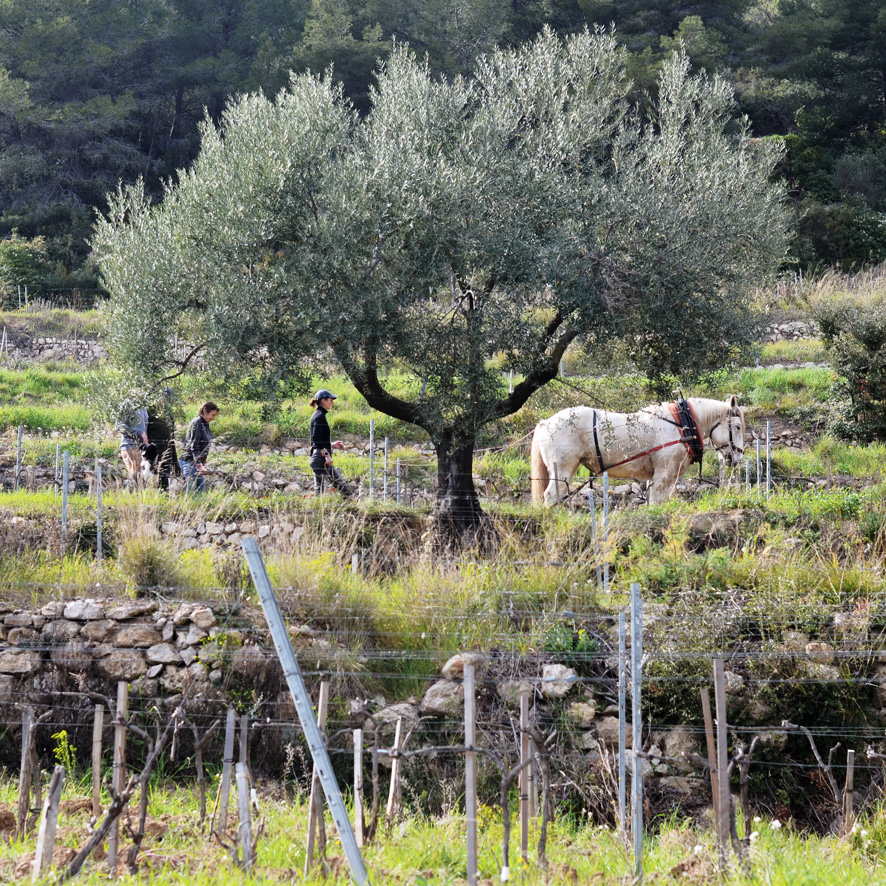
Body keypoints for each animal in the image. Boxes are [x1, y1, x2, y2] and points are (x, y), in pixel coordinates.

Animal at [532, 398, 744, 506]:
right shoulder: (664, 474)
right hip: (563, 469)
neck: (682, 424)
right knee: (551, 495)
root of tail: (545, 423)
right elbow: (657, 502)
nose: (738, 458)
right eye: (738, 427)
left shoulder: (655, 476)